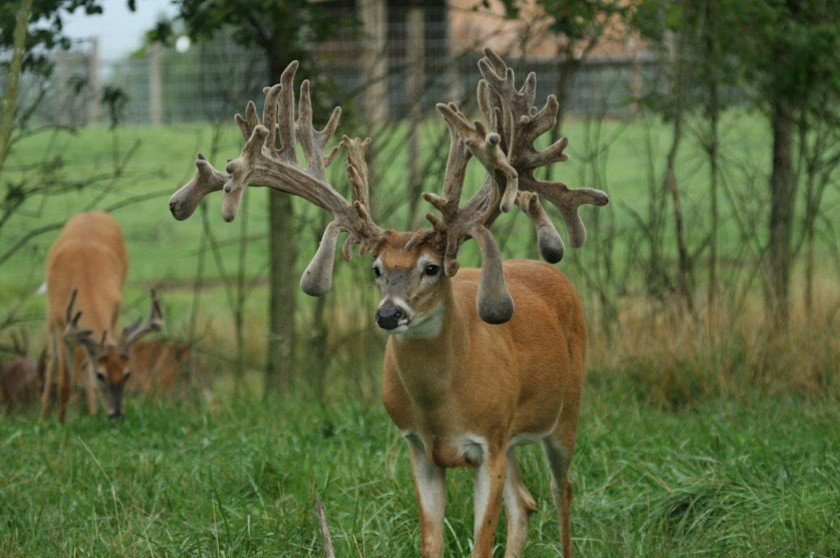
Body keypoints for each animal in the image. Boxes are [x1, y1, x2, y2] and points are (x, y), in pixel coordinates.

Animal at [42, 213, 164, 424]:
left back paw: (92, 412)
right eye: (101, 375)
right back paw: (42, 416)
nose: (116, 414)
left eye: (127, 374)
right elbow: (65, 383)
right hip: (51, 317)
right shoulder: (61, 325)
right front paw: (60, 424)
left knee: (84, 362)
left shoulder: (113, 310)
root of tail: (92, 213)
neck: (84, 277)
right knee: (51, 358)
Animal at [167, 49, 608, 558]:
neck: (443, 406)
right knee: (526, 502)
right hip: (517, 439)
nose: (388, 313)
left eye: (432, 267)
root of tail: (554, 275)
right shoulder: (418, 446)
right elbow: (431, 540)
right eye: (376, 269)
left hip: (566, 410)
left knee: (562, 491)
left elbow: (481, 542)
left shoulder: (491, 441)